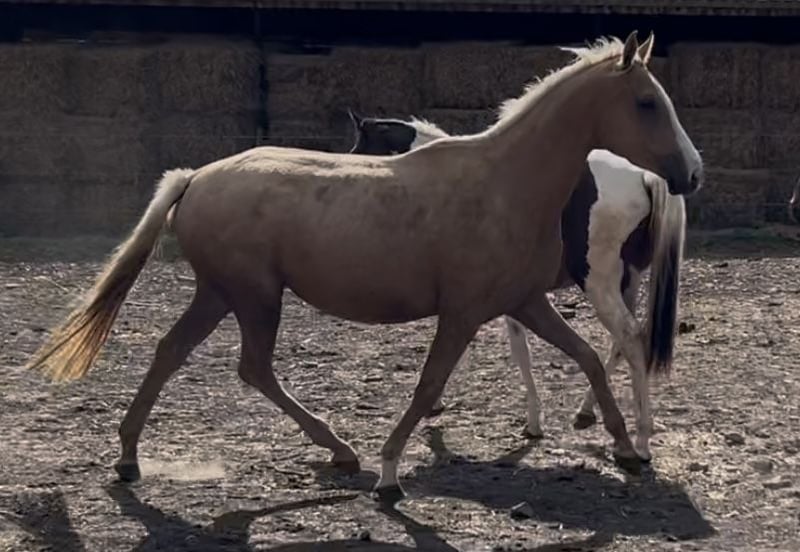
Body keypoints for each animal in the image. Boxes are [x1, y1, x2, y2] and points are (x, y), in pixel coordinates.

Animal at [347, 114, 688, 462]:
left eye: (361, 150)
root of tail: (647, 176)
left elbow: (516, 351)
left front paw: (533, 422)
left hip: (599, 284)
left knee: (629, 338)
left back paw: (641, 440)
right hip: (626, 283)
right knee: (621, 344)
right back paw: (589, 411)